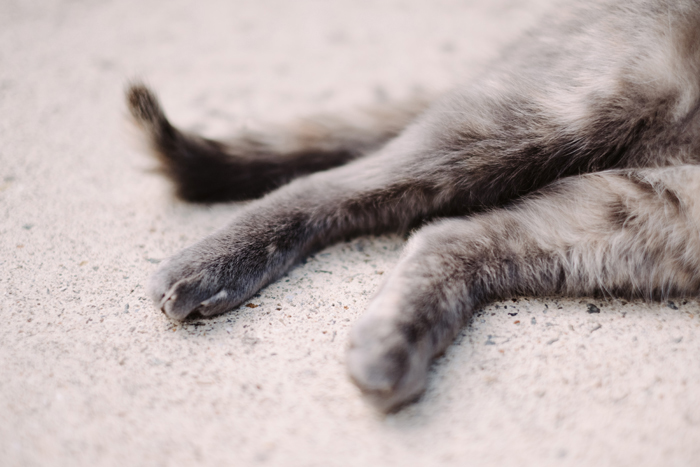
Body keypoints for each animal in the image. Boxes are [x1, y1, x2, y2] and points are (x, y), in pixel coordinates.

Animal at [126, 0, 700, 412]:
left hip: (655, 214)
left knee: (454, 236)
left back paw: (393, 343)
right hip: (567, 106)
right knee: (325, 186)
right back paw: (214, 264)